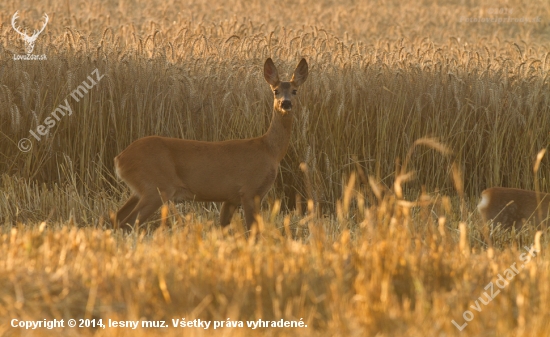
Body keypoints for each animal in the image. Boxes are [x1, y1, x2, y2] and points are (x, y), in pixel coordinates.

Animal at [115, 57, 310, 231]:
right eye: (276, 90)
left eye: (295, 91)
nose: (285, 103)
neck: (269, 150)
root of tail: (120, 159)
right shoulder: (249, 190)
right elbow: (253, 230)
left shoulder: (230, 198)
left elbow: (223, 227)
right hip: (156, 187)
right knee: (128, 222)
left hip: (140, 190)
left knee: (116, 217)